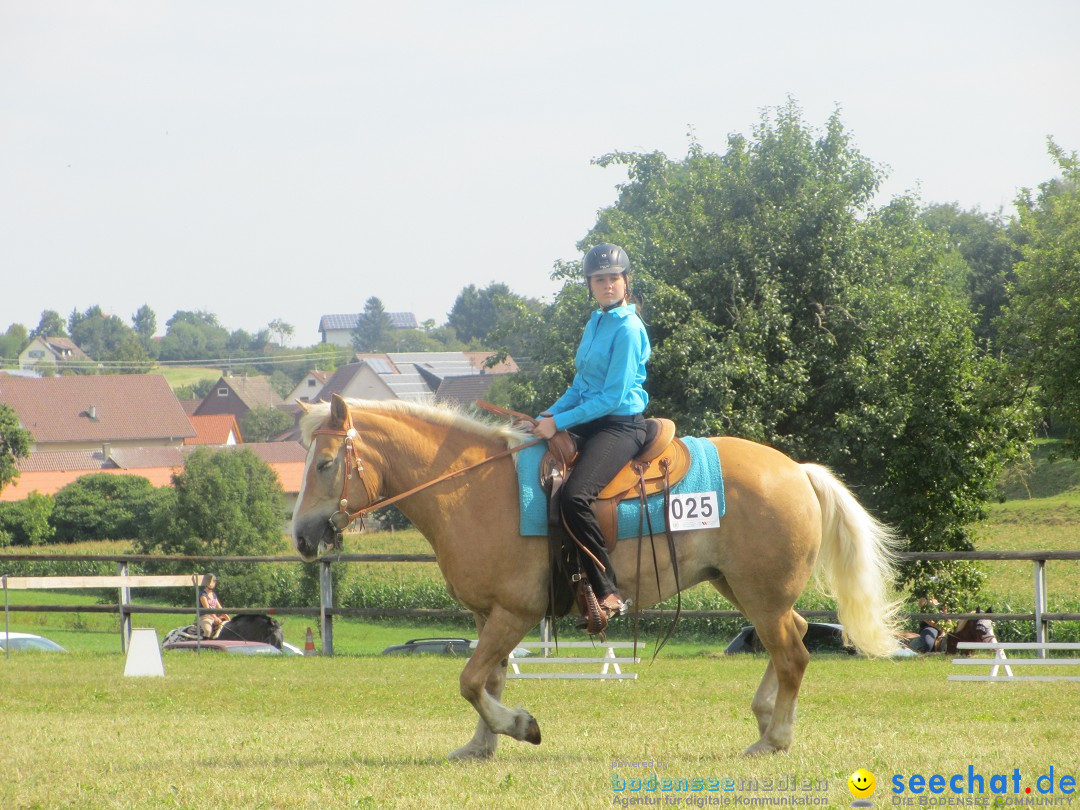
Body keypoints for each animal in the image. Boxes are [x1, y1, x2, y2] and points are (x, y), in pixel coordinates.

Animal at [289, 397, 902, 760]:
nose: (300, 536)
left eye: (325, 464)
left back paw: (774, 738)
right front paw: (480, 746)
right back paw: (764, 719)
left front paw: (521, 727)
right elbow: (487, 679)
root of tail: (797, 470)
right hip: (747, 589)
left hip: (761, 593)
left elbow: (470, 680)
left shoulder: (515, 612)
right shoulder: (491, 615)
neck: (472, 488)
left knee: (792, 654)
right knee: (791, 641)